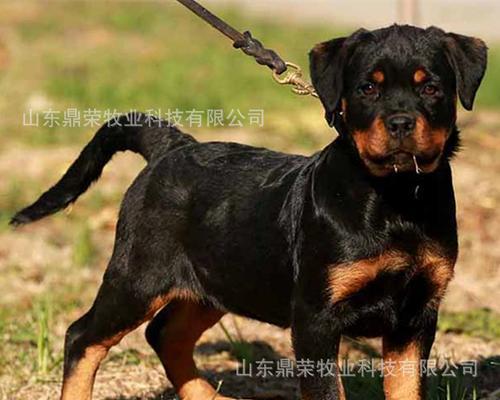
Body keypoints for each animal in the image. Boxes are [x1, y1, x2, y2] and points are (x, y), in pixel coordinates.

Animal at [11, 24, 486, 400]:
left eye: (431, 88)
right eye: (368, 88)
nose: (401, 123)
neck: (395, 197)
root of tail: (171, 147)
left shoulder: (416, 316)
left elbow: (406, 389)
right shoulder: (315, 318)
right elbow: (327, 392)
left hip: (219, 281)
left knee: (165, 335)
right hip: (138, 276)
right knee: (83, 337)